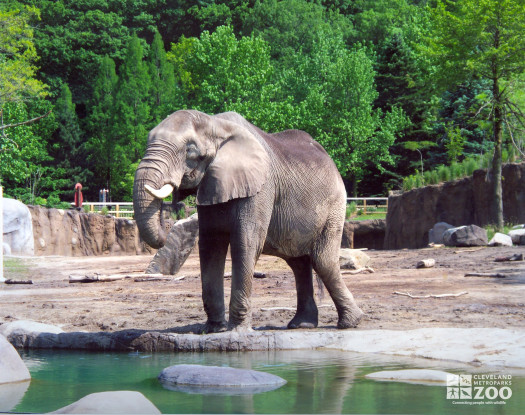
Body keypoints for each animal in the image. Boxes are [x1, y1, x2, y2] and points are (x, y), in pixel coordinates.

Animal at [133, 109, 362, 332]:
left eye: (190, 151)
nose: (167, 224)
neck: (215, 123)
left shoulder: (261, 188)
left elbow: (245, 243)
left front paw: (237, 331)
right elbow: (210, 245)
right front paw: (213, 330)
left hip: (334, 207)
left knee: (323, 261)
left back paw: (349, 323)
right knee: (299, 263)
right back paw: (302, 325)